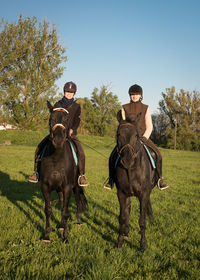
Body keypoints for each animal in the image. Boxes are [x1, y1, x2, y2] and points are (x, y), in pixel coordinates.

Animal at [39, 101, 87, 243]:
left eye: (66, 119)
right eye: (50, 119)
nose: (58, 140)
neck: (56, 157)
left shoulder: (67, 187)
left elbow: (66, 212)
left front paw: (65, 237)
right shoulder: (45, 187)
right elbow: (48, 210)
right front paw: (46, 236)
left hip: (76, 186)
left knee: (78, 201)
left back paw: (78, 222)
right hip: (59, 189)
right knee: (61, 203)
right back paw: (60, 225)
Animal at [113, 114, 155, 252]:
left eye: (136, 135)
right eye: (118, 134)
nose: (127, 160)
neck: (131, 170)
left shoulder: (144, 194)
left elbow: (142, 221)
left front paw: (143, 245)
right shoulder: (121, 194)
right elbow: (122, 217)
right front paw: (120, 242)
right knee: (128, 209)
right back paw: (126, 231)